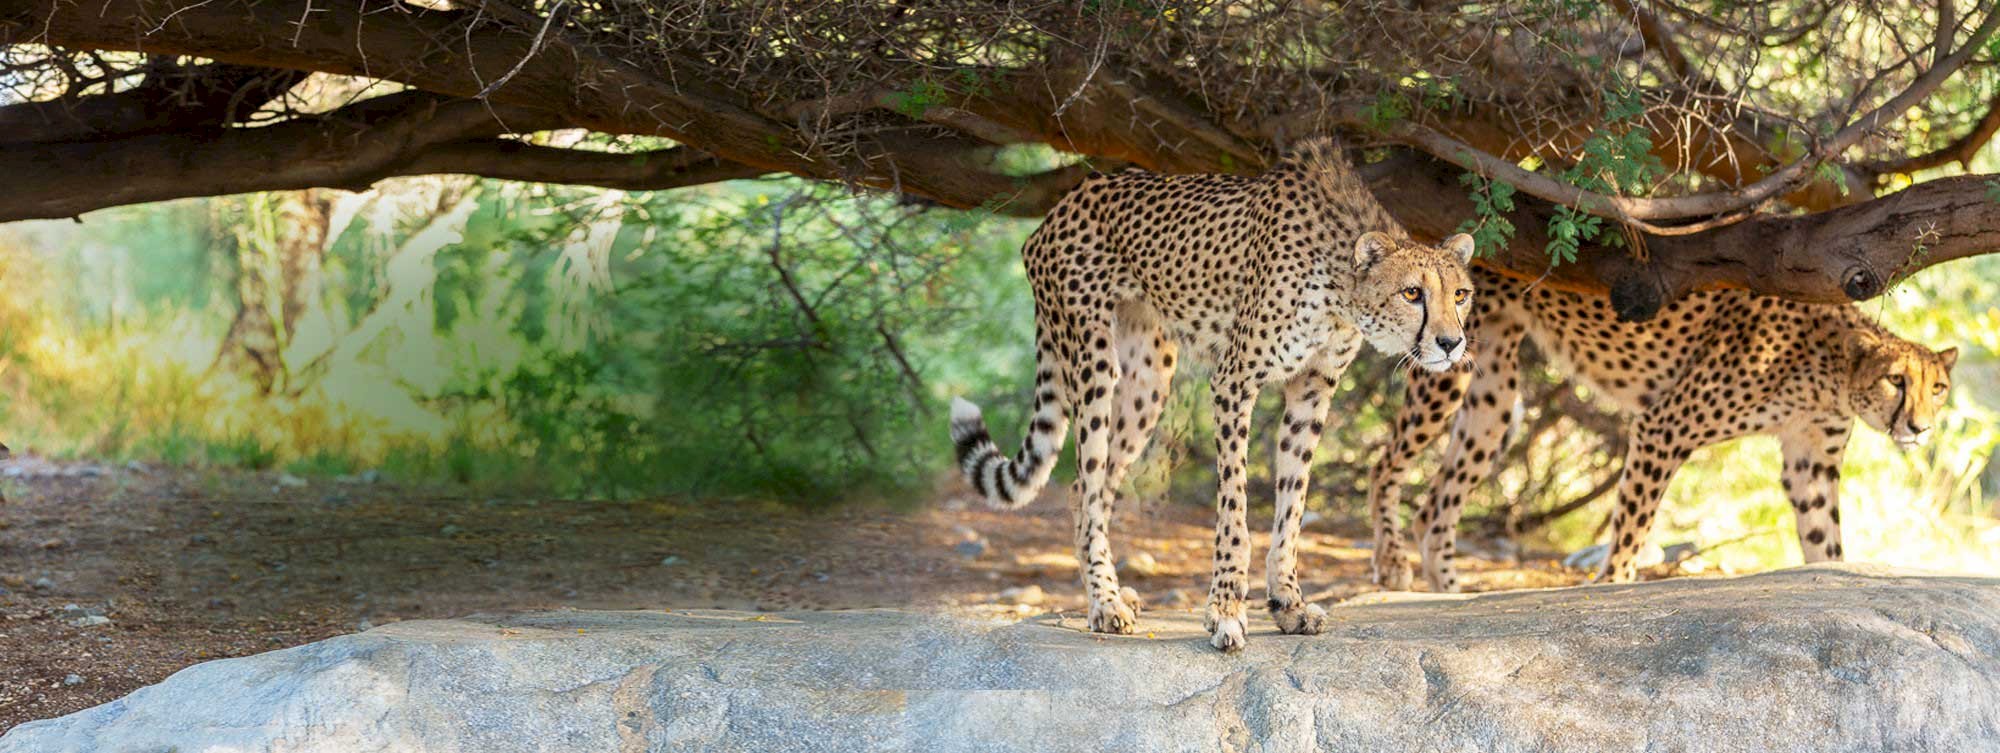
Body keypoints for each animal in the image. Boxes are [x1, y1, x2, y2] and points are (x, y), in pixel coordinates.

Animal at [944, 141, 1480, 652]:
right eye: (1412, 293)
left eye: (1461, 295)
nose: (1451, 344)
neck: (1340, 288)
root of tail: (1062, 205)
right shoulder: (1233, 381)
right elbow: (1234, 511)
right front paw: (1226, 611)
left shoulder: (1312, 389)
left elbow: (1293, 506)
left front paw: (1288, 603)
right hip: (1093, 360)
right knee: (1091, 482)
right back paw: (1104, 603)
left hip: (1148, 382)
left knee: (1084, 486)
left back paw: (1115, 592)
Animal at [1368, 268, 1960, 592]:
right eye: (1895, 381)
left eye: (1937, 388)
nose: (1920, 427)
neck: (1832, 370)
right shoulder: (1662, 427)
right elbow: (1632, 526)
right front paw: (1610, 585)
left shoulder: (1809, 464)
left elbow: (1825, 541)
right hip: (1446, 371)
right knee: (1385, 466)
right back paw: (1392, 567)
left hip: (1494, 399)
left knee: (1435, 506)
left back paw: (1449, 594)